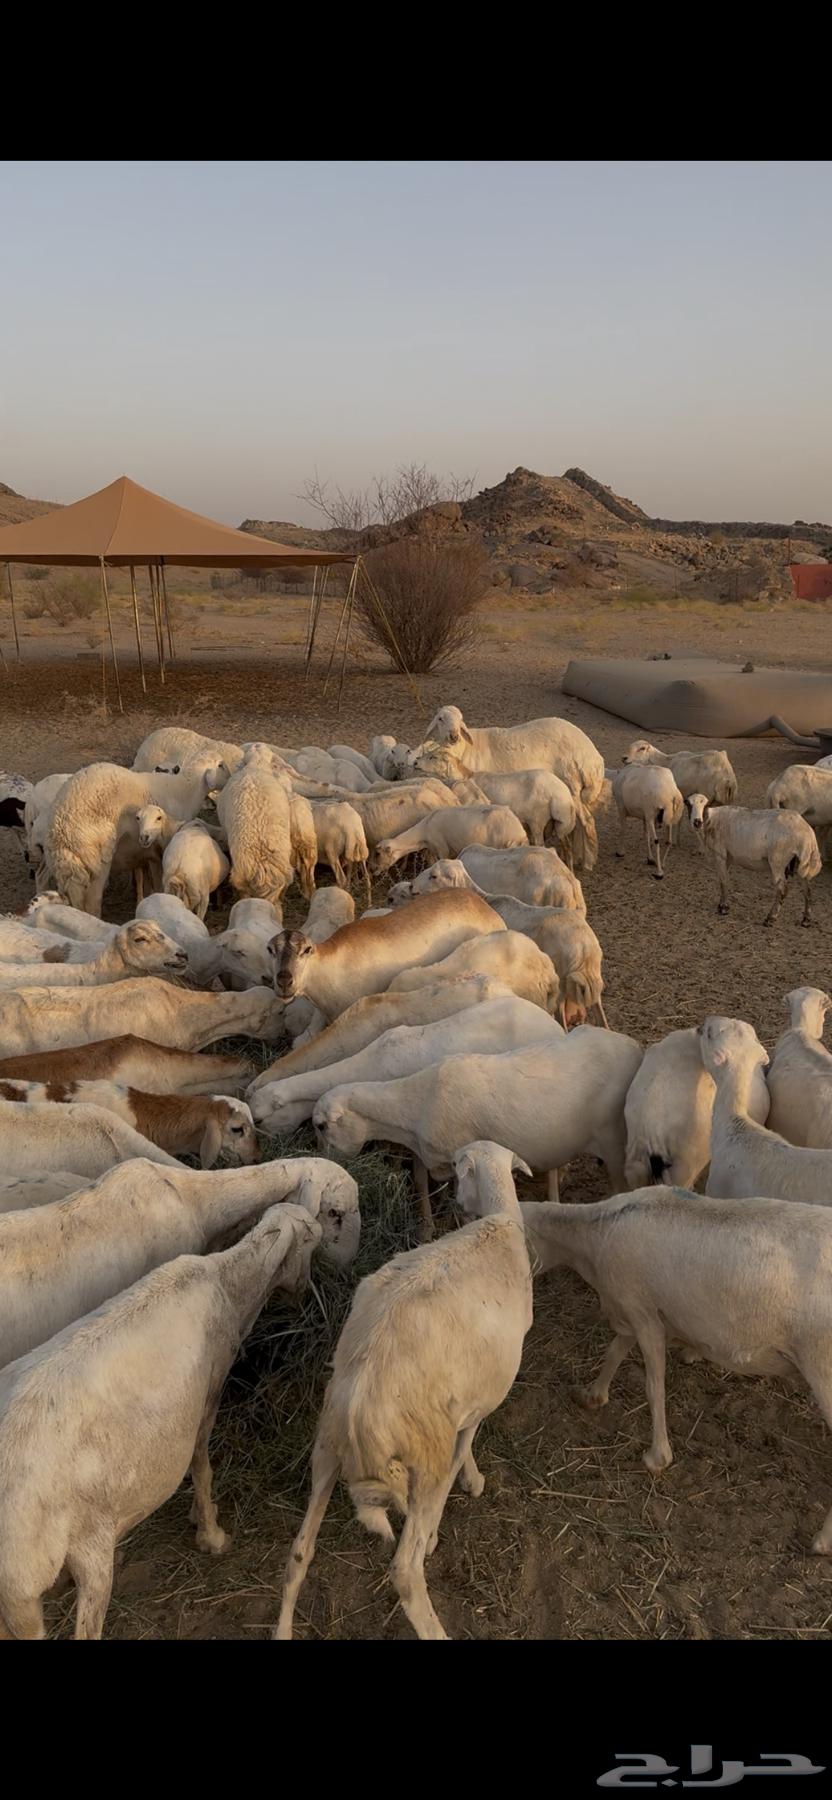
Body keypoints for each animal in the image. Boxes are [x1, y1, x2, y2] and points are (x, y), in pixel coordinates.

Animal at [0, 1201, 323, 1638]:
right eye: (311, 1242)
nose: (305, 1292)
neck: (229, 1282)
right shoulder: (210, 1392)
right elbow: (201, 1466)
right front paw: (211, 1534)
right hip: (65, 1565)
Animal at [47, 759, 229, 914]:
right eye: (221, 765)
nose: (230, 777)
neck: (183, 791)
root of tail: (64, 825)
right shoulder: (161, 852)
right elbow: (158, 884)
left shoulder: (146, 856)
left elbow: (147, 883)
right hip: (96, 862)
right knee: (93, 902)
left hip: (67, 868)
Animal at [275, 1139, 533, 1642]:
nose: (453, 1199)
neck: (500, 1221)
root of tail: (360, 1404)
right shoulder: (475, 1403)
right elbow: (462, 1452)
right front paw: (466, 1491)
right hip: (420, 1452)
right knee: (405, 1570)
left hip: (326, 1444)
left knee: (298, 1552)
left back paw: (281, 1630)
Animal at [694, 800, 822, 926]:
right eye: (689, 804)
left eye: (704, 804)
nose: (696, 822)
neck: (712, 819)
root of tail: (808, 835)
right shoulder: (727, 858)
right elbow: (724, 879)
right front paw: (723, 905)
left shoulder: (719, 854)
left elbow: (723, 881)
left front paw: (723, 908)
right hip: (803, 862)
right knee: (807, 890)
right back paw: (806, 919)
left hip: (778, 860)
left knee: (782, 889)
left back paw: (771, 918)